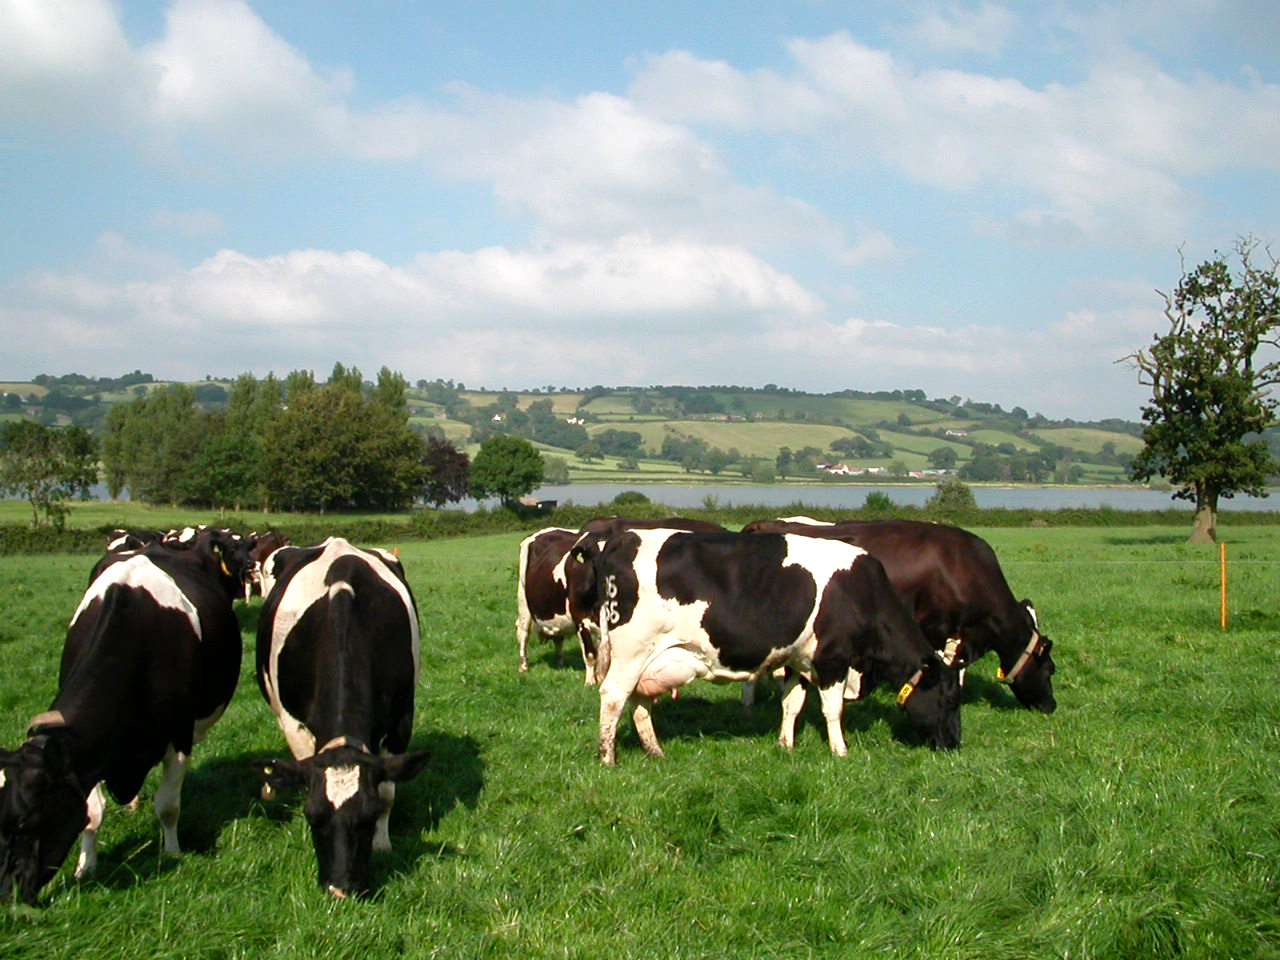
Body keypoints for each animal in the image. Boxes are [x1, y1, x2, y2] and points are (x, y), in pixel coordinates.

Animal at [0, 529, 249, 906]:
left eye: (26, 822)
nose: (8, 895)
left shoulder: (178, 735)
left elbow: (168, 805)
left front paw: (172, 852)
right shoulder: (87, 754)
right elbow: (91, 814)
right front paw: (85, 868)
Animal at [254, 537, 430, 901]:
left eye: (367, 816)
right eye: (312, 816)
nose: (340, 889)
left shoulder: (401, 719)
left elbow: (388, 790)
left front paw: (382, 844)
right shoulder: (294, 724)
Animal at [570, 527, 962, 768]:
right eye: (948, 699)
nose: (954, 744)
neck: (861, 591)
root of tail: (619, 539)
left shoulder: (797, 658)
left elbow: (792, 703)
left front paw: (785, 745)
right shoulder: (833, 657)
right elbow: (833, 709)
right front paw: (840, 751)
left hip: (650, 656)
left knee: (639, 701)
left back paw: (655, 752)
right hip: (632, 650)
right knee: (614, 696)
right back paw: (608, 758)